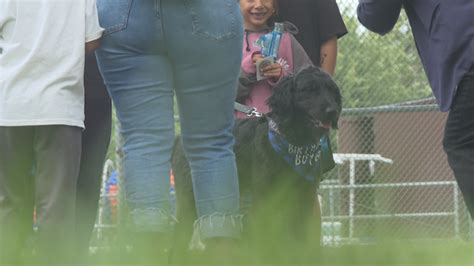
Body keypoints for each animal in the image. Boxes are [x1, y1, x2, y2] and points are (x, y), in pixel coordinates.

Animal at [170, 66, 340, 254]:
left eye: (332, 90)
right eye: (309, 89)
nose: (332, 111)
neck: (294, 140)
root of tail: (179, 140)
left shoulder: (303, 196)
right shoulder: (266, 195)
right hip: (189, 199)